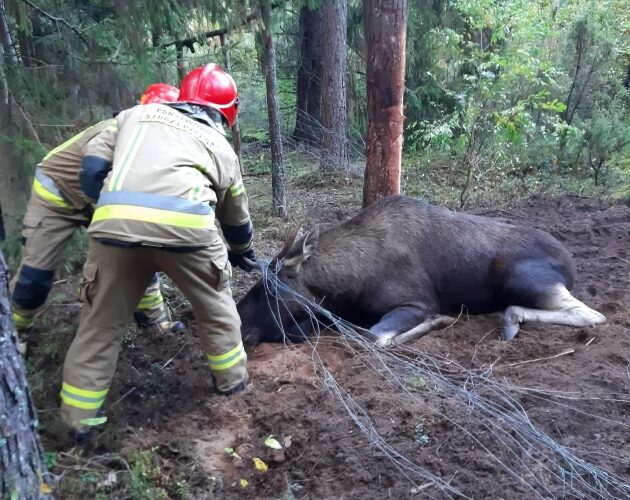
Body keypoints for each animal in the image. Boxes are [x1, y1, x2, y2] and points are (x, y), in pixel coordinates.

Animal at [238, 193, 608, 350]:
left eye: (268, 290)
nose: (240, 325)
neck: (348, 285)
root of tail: (571, 263)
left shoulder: (417, 302)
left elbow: (372, 336)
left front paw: (439, 322)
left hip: (522, 281)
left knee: (593, 314)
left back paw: (511, 319)